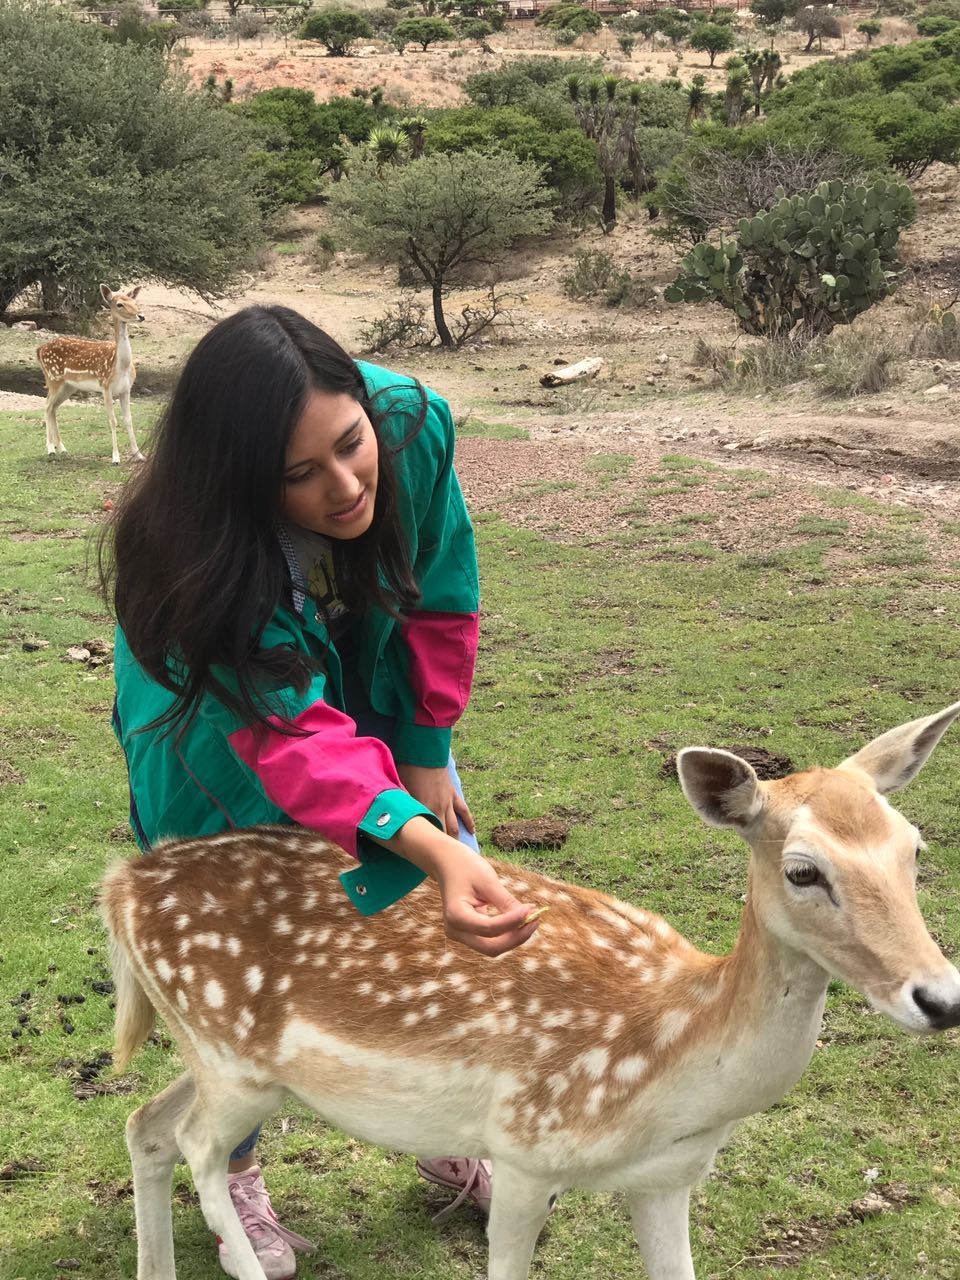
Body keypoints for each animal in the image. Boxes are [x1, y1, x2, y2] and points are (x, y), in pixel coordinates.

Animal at [36, 283, 146, 466]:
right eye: (119, 304)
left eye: (134, 301)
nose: (141, 316)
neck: (120, 367)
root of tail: (39, 349)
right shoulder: (106, 386)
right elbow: (112, 420)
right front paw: (115, 458)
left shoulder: (126, 389)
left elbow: (129, 420)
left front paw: (139, 455)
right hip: (53, 378)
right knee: (46, 405)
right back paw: (50, 449)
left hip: (68, 386)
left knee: (53, 407)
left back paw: (62, 448)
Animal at [100, 700, 960, 1280]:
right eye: (804, 871)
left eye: (913, 848)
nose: (941, 999)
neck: (671, 1066)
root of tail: (120, 885)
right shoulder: (523, 1150)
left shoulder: (669, 1180)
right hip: (231, 1057)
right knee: (197, 1146)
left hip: (228, 1061)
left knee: (145, 1123)